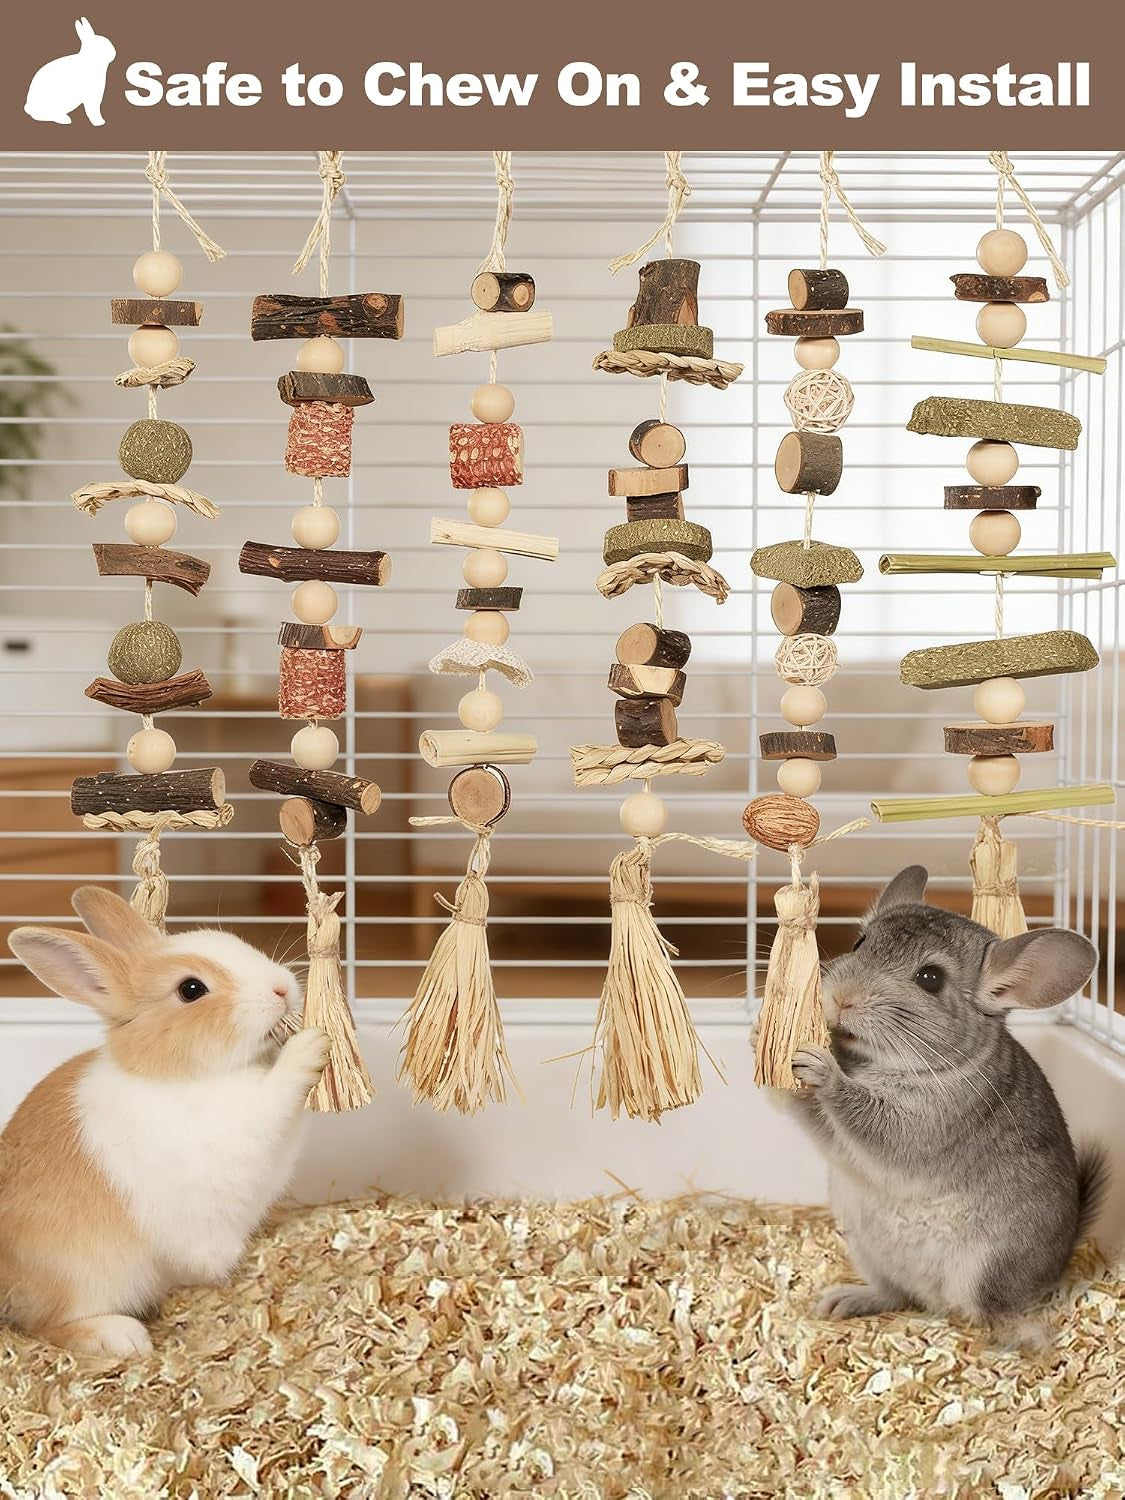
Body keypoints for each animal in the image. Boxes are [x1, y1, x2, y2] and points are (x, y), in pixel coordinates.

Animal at [2, 887, 328, 1359]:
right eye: (191, 989)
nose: (282, 987)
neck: (179, 1075)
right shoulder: (249, 1124)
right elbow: (279, 1091)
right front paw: (311, 1045)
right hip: (82, 1277)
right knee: (50, 1325)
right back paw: (121, 1337)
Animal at [787, 865, 1107, 1333]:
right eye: (859, 943)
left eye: (930, 979)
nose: (841, 999)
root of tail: (1060, 1266)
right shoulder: (843, 1148)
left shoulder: (924, 1124)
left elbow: (865, 1119)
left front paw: (820, 1067)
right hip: (865, 1246)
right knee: (897, 1294)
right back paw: (848, 1300)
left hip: (989, 1271)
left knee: (983, 1316)